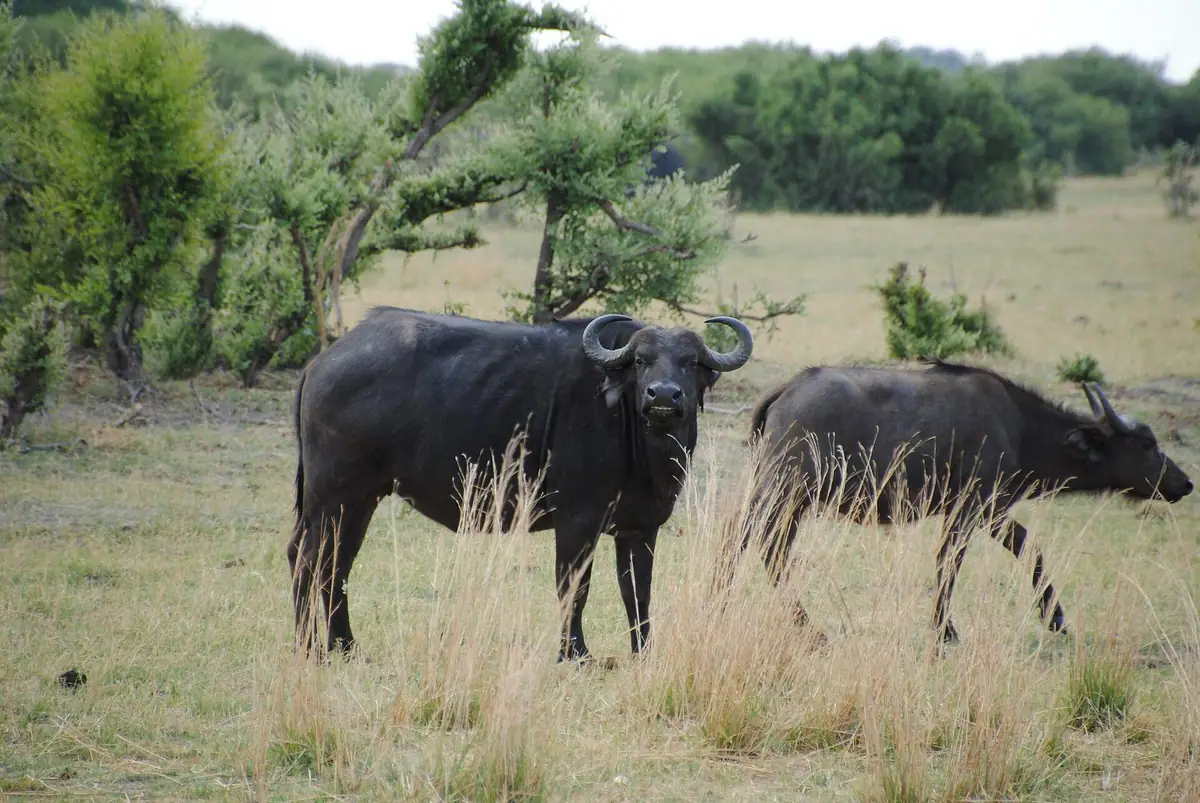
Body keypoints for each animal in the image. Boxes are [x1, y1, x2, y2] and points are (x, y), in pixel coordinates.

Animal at [289, 308, 754, 661]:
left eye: (692, 362)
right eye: (641, 361)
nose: (663, 396)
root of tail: (321, 362)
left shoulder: (640, 528)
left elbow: (637, 591)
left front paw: (644, 652)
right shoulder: (577, 522)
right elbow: (574, 588)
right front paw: (574, 654)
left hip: (353, 501)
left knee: (330, 562)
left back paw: (343, 646)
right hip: (337, 496)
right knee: (313, 562)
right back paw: (311, 648)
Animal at [735, 360, 1193, 643]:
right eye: (1147, 443)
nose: (1185, 482)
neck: (1019, 426)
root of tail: (790, 387)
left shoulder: (983, 511)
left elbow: (1006, 551)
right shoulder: (975, 508)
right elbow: (963, 560)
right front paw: (948, 629)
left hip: (788, 500)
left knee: (764, 545)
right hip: (784, 491)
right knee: (751, 540)